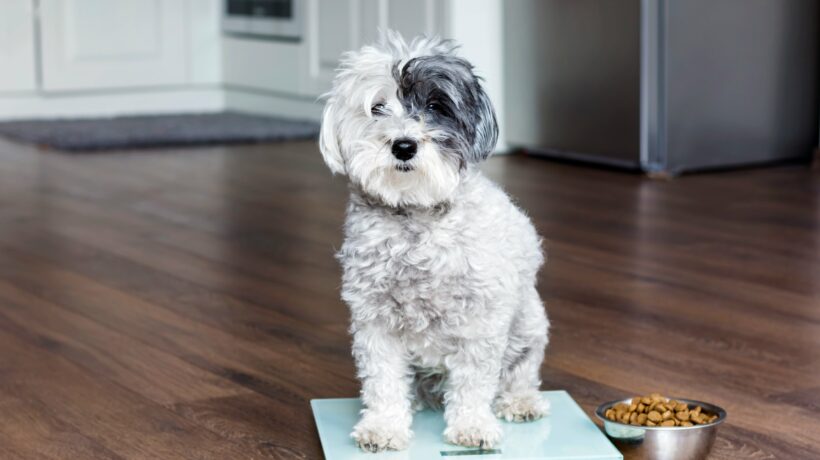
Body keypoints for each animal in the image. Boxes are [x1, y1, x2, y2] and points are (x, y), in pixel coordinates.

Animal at [320, 30, 552, 452]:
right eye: (377, 107)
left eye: (434, 106)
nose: (404, 145)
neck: (416, 214)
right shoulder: (375, 321)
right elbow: (383, 380)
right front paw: (384, 425)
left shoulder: (481, 321)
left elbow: (475, 382)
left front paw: (472, 425)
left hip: (528, 325)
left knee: (520, 372)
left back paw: (521, 401)